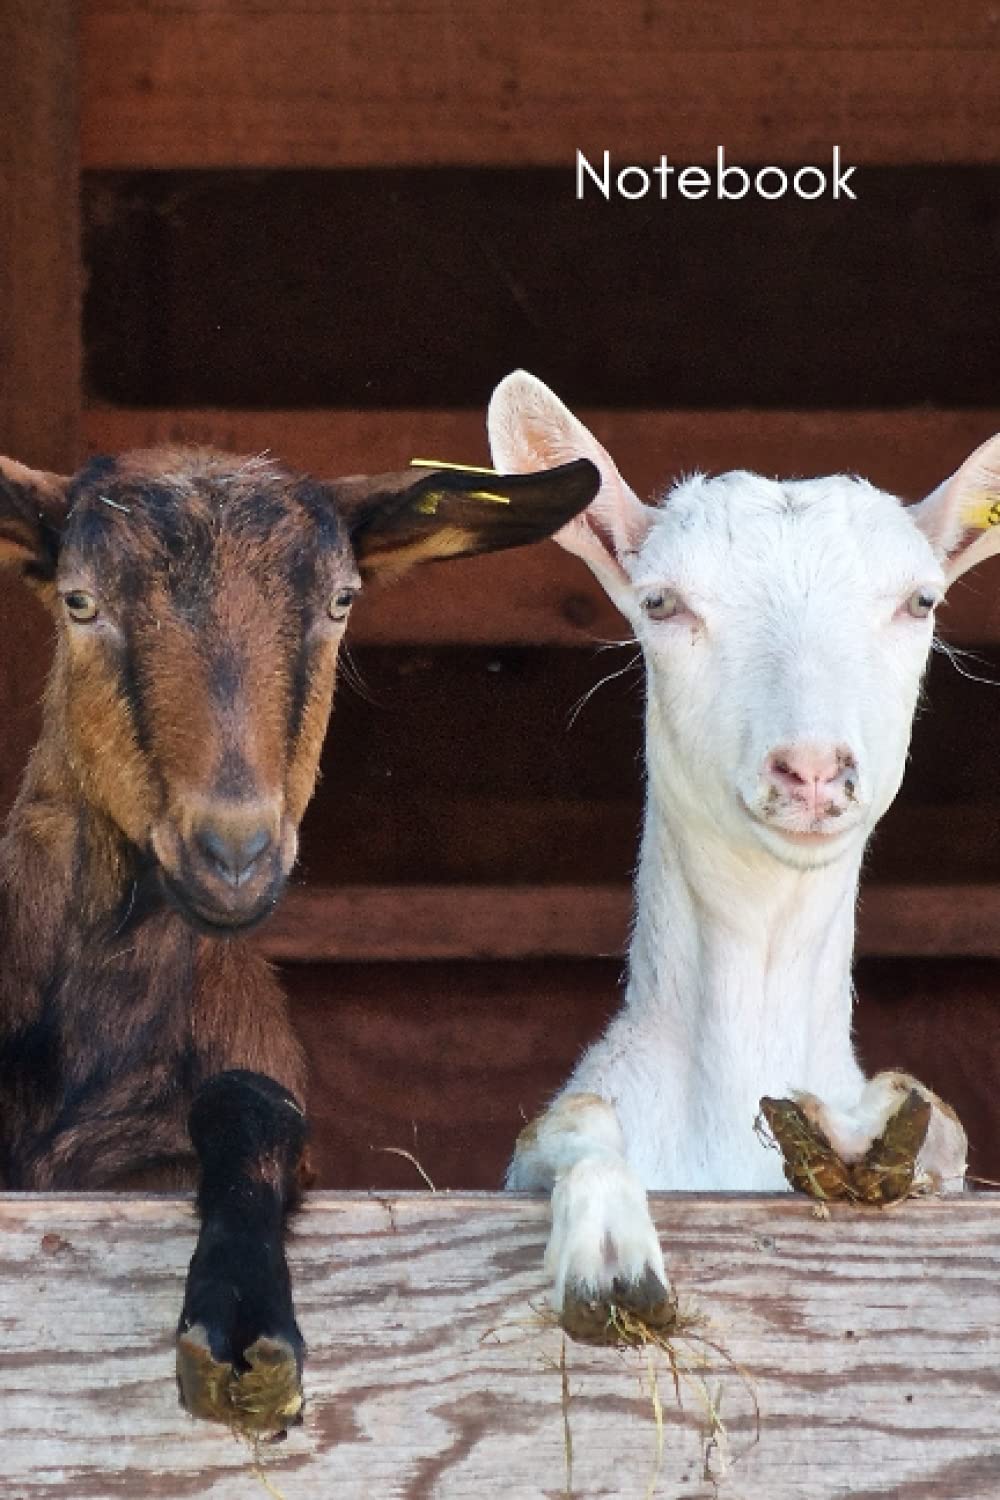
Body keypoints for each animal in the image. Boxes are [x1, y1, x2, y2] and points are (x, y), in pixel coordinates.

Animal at [488, 371, 984, 1337]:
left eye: (921, 602)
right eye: (661, 603)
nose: (813, 769)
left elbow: (942, 1126)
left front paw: (863, 1133)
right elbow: (571, 1119)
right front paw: (610, 1257)